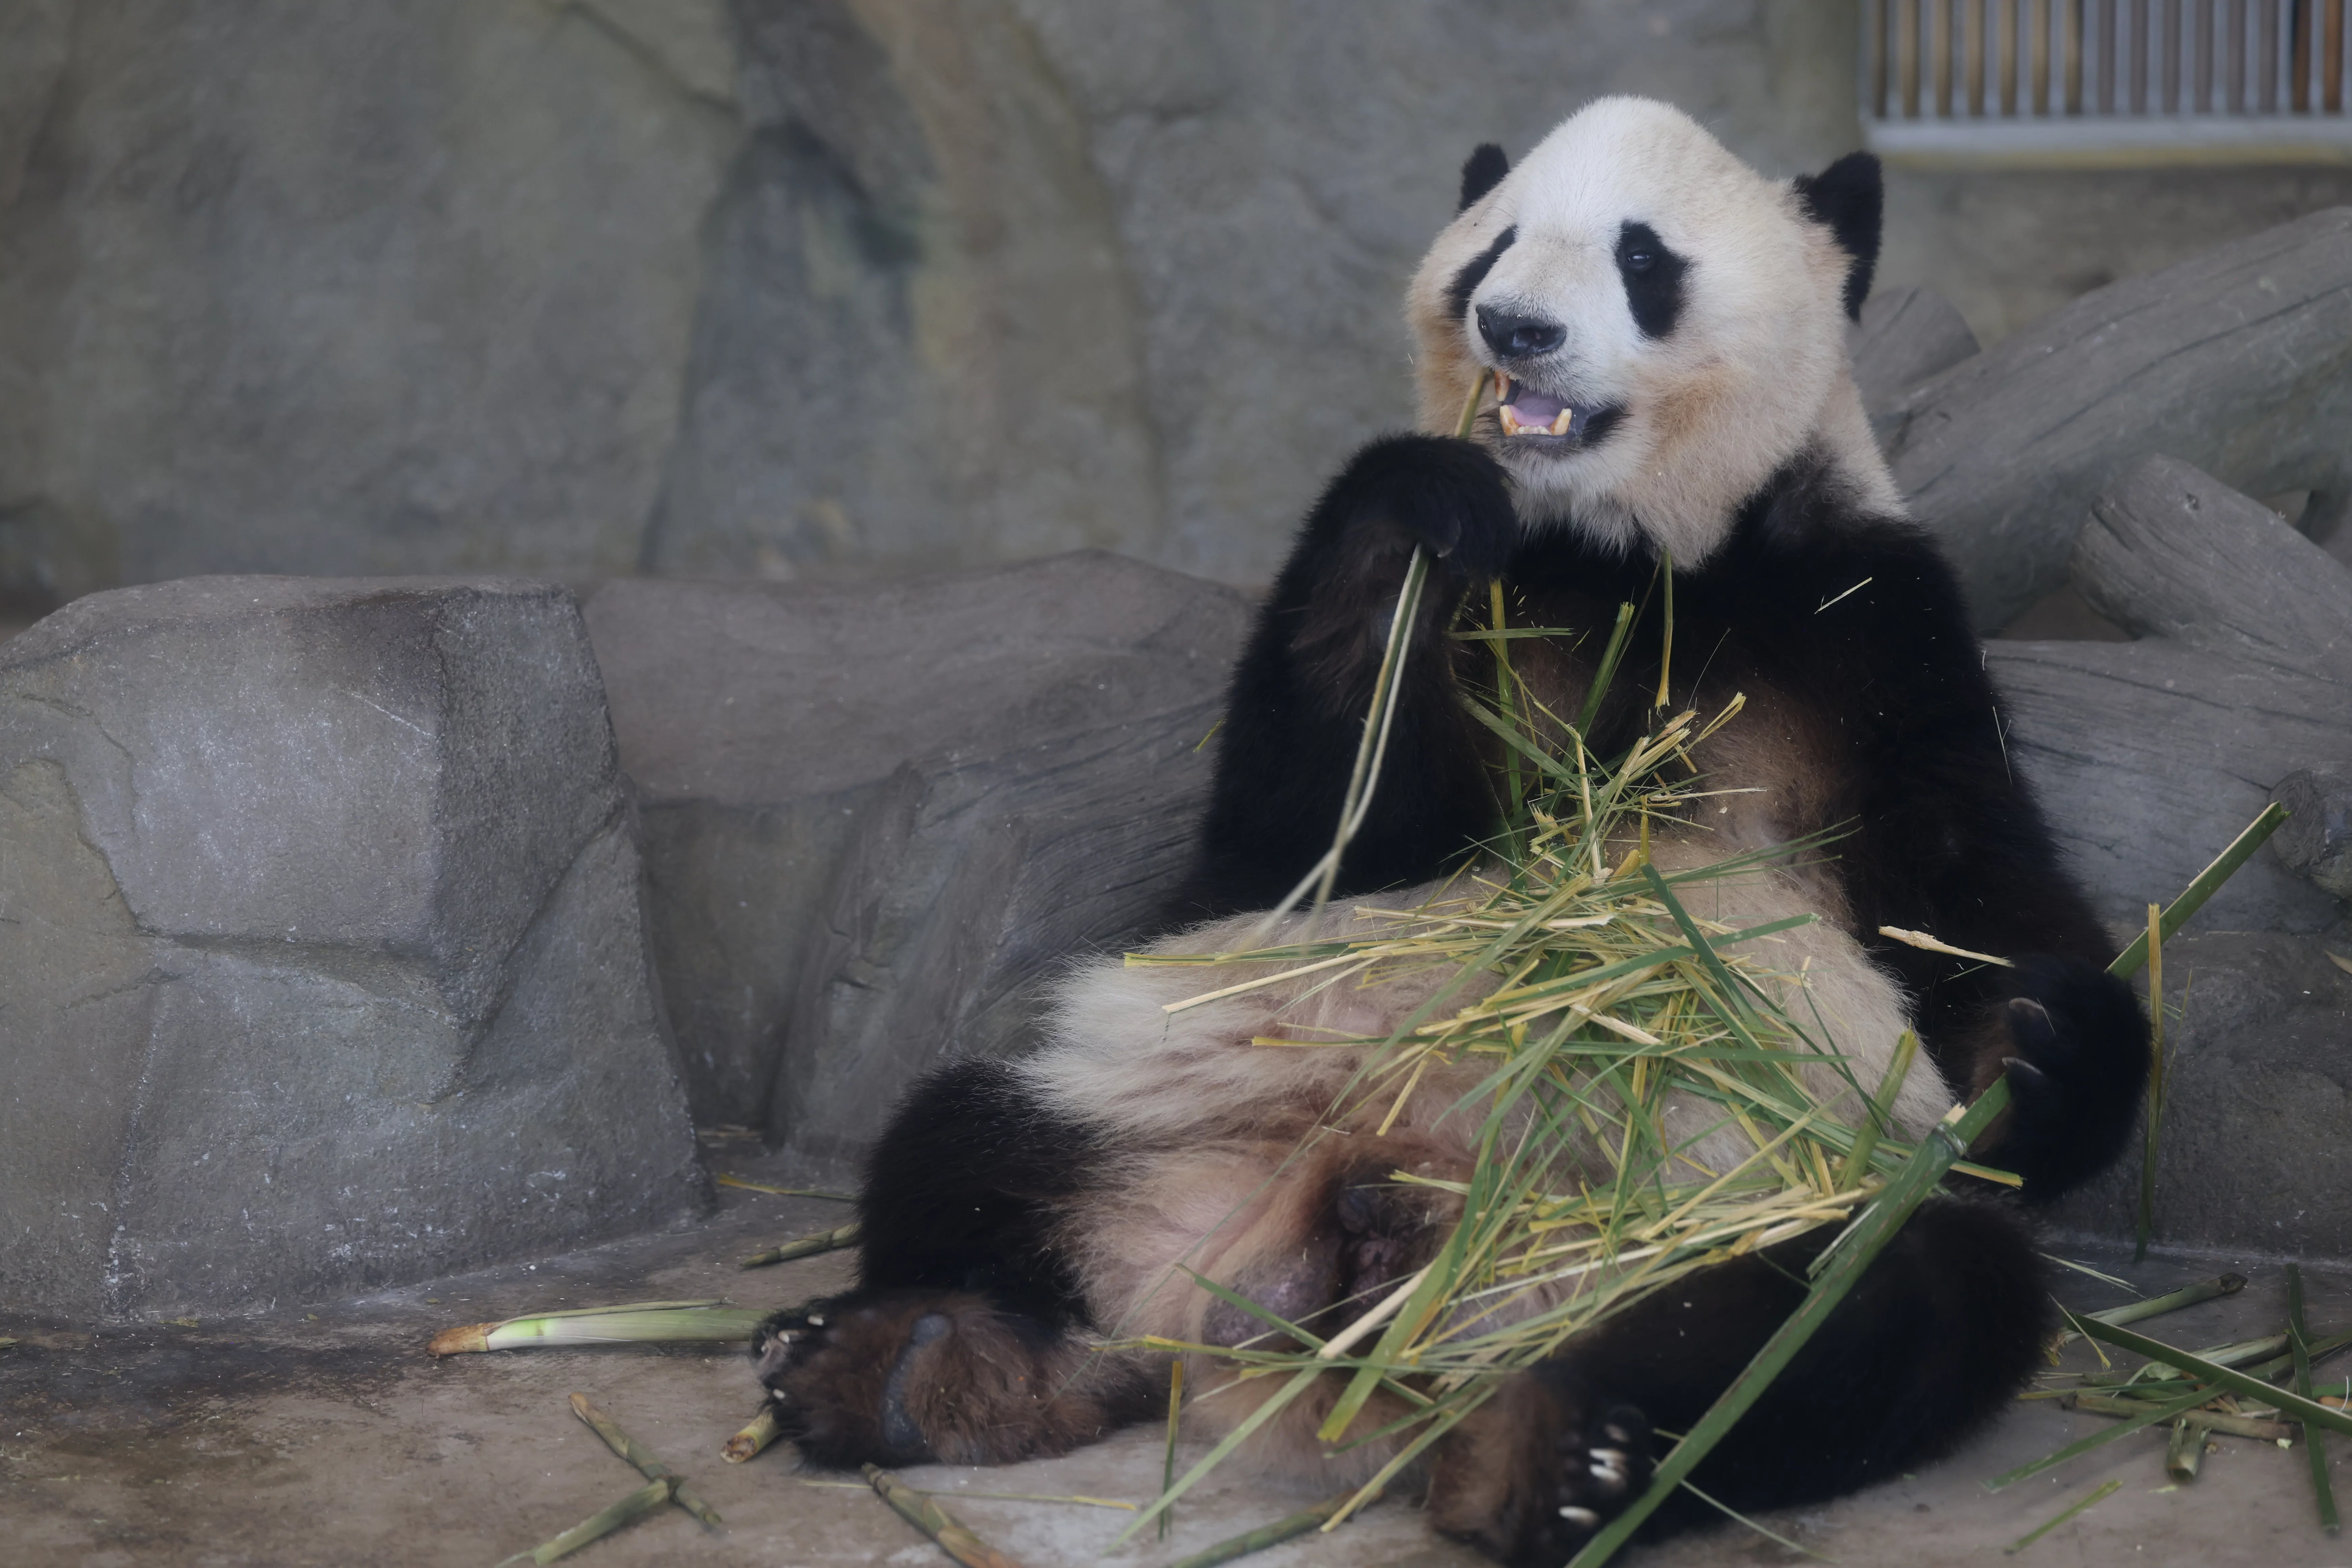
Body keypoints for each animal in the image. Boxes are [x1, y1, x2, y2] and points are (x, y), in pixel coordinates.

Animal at [754, 97, 2150, 1563]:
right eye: (1493, 247)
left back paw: (1552, 1452)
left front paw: (2044, 1039)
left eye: (1644, 259)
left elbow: (1970, 903)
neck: (1628, 554)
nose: (1515, 329)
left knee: (1875, 1311)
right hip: (1156, 1120)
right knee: (965, 1145)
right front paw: (1413, 504)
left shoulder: (1873, 622)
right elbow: (1295, 847)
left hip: (1743, 1211)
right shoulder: (1478, 630)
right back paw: (911, 1368)